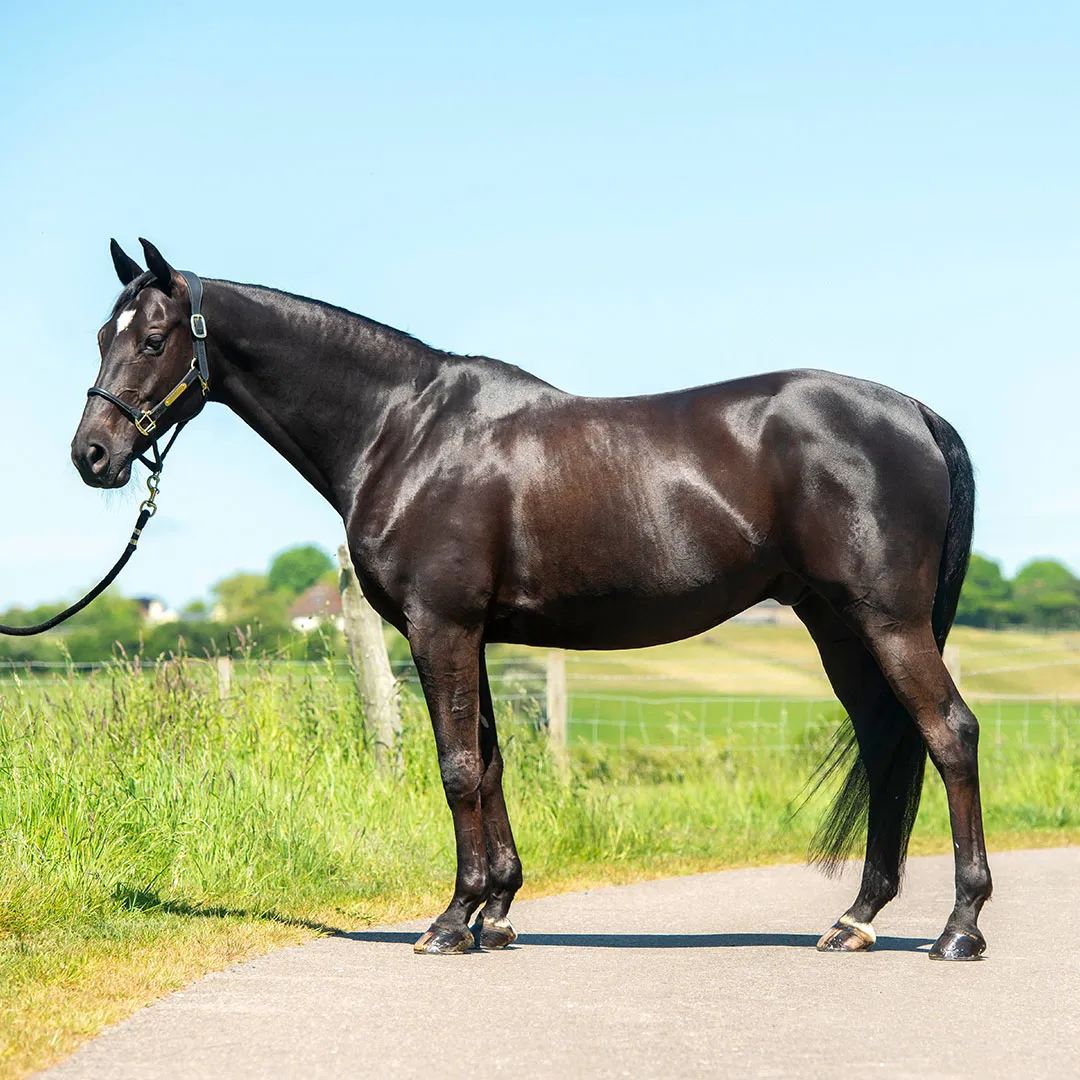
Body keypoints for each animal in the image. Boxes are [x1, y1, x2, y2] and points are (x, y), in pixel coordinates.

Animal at [71, 238, 991, 960]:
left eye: (153, 338)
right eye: (101, 335)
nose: (92, 454)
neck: (404, 430)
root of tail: (917, 413)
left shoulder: (438, 627)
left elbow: (456, 767)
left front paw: (452, 920)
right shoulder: (469, 633)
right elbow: (490, 761)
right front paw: (499, 910)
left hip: (886, 621)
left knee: (949, 735)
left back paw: (959, 928)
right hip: (836, 625)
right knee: (887, 743)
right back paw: (857, 918)